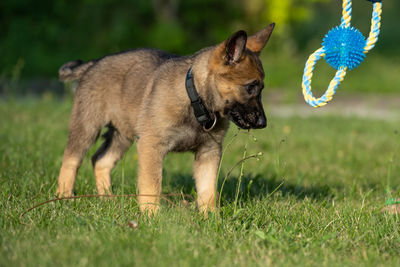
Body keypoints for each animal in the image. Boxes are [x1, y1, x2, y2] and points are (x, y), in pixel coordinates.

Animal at [55, 23, 276, 216]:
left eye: (261, 89)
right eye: (250, 87)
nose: (263, 123)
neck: (196, 99)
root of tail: (94, 63)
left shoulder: (209, 152)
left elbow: (208, 189)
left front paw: (211, 218)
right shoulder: (151, 146)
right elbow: (151, 185)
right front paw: (151, 216)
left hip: (123, 134)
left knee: (101, 160)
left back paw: (108, 199)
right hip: (87, 125)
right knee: (71, 160)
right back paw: (64, 196)